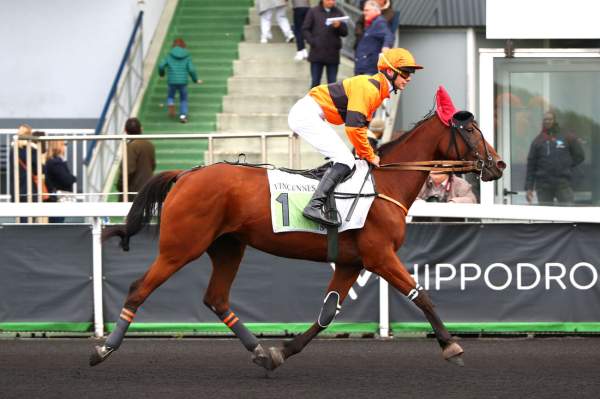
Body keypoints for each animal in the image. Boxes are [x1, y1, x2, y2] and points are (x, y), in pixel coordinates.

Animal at [91, 97, 504, 372]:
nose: (498, 164)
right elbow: (422, 295)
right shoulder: (380, 255)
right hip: (181, 246)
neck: (384, 184)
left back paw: (260, 351)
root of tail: (185, 175)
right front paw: (450, 345)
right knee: (139, 289)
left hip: (228, 247)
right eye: (470, 129)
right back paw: (103, 349)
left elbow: (326, 314)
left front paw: (282, 351)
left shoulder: (352, 261)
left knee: (216, 298)